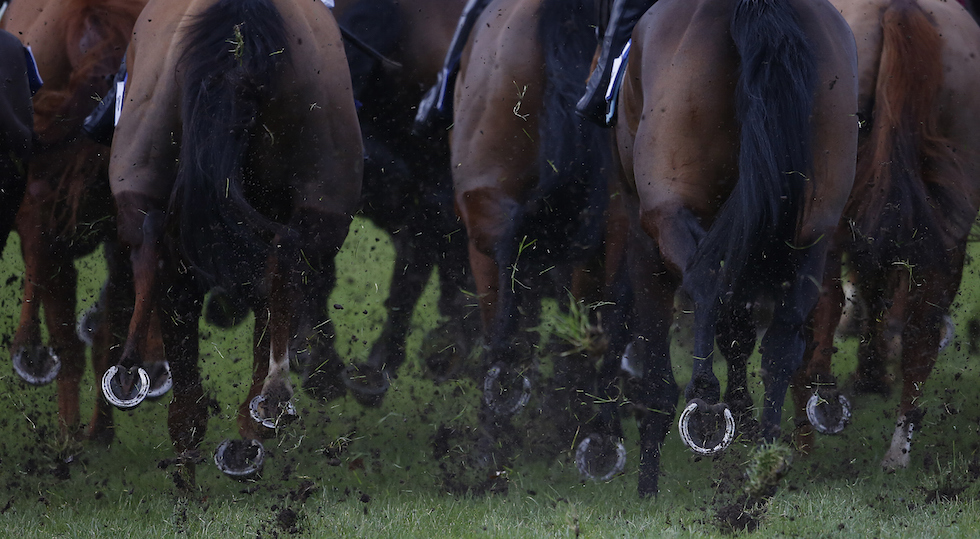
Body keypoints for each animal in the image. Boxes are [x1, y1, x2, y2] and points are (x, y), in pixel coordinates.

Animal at [613, 0, 858, 496]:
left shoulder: (644, 234)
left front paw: (648, 477)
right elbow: (739, 327)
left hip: (666, 212)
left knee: (705, 282)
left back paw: (705, 398)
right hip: (811, 232)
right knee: (782, 337)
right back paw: (765, 459)